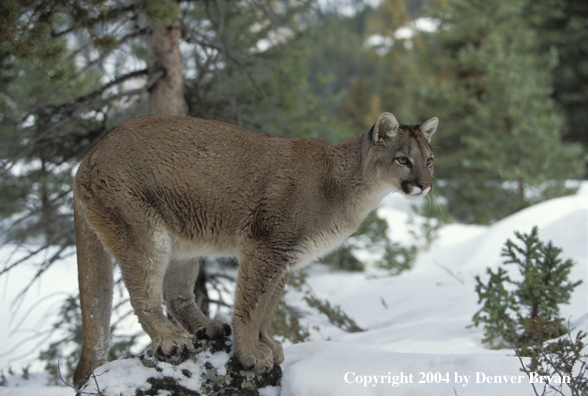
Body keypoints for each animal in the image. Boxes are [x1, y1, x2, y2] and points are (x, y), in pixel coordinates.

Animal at [72, 110, 436, 386]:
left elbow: (267, 307)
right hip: (144, 233)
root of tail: (87, 156)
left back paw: (206, 327)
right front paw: (249, 354)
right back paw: (169, 338)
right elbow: (251, 305)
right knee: (142, 294)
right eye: (403, 159)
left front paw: (267, 345)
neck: (351, 186)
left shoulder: (285, 259)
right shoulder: (266, 247)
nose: (425, 185)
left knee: (176, 294)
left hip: (184, 241)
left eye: (430, 160)